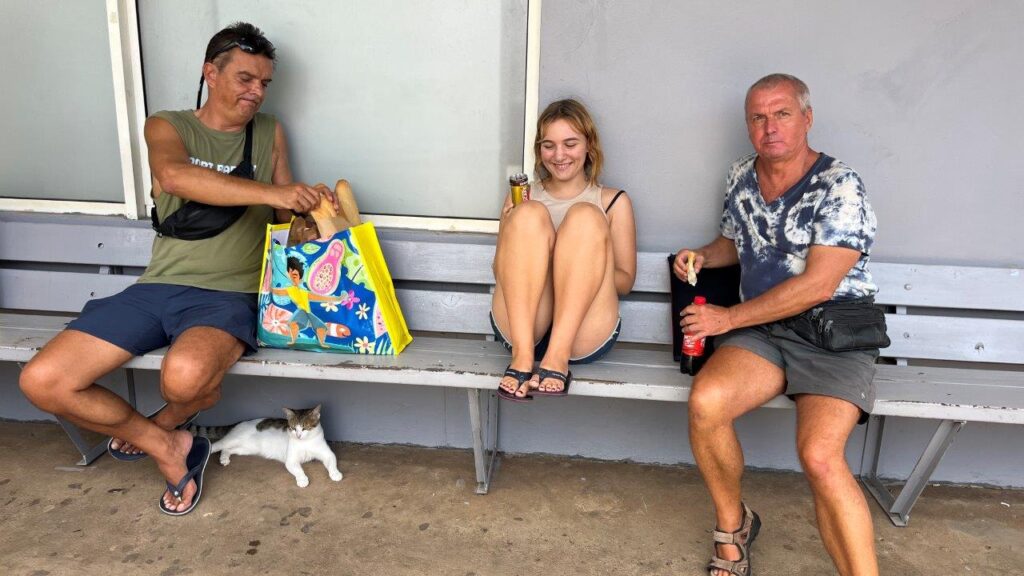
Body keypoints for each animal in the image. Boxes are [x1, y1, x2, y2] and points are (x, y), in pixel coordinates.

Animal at [206, 404, 342, 488]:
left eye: (304, 428)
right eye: (293, 428)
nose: (298, 435)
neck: (306, 442)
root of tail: (241, 422)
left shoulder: (328, 454)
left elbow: (332, 463)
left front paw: (335, 474)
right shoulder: (291, 460)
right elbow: (298, 470)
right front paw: (302, 479)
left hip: (245, 449)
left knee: (226, 449)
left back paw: (224, 459)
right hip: (234, 440)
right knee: (216, 445)